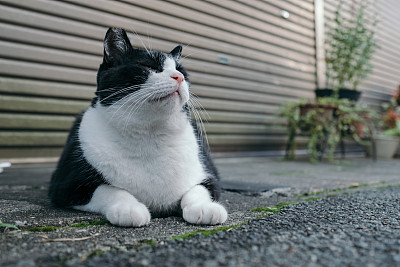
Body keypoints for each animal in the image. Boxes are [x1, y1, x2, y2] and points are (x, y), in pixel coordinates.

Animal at [48, 28, 227, 227]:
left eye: (182, 72)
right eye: (148, 66)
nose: (179, 77)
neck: (150, 135)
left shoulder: (210, 177)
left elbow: (199, 189)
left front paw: (204, 208)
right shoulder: (66, 186)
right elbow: (109, 189)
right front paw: (128, 208)